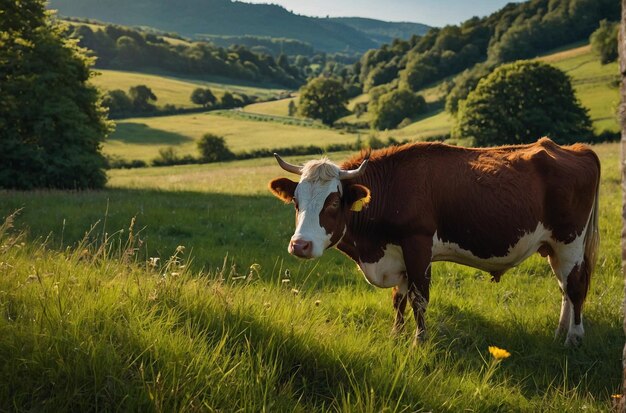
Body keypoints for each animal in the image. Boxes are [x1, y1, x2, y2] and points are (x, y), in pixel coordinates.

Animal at [268, 138, 600, 344]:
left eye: (334, 202)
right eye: (296, 201)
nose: (300, 245)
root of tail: (575, 149)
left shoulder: (418, 244)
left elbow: (419, 298)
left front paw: (419, 340)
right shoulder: (397, 253)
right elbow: (399, 298)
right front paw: (396, 335)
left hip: (570, 241)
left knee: (575, 286)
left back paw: (574, 337)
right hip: (553, 247)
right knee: (564, 288)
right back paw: (560, 331)